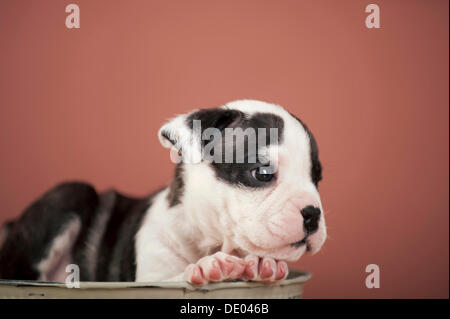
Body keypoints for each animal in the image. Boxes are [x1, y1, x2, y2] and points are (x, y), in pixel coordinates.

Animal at [0, 100, 326, 284]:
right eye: (263, 173)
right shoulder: (152, 277)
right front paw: (209, 267)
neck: (208, 240)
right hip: (72, 194)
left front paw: (262, 265)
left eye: (317, 178)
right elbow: (176, 277)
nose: (312, 214)